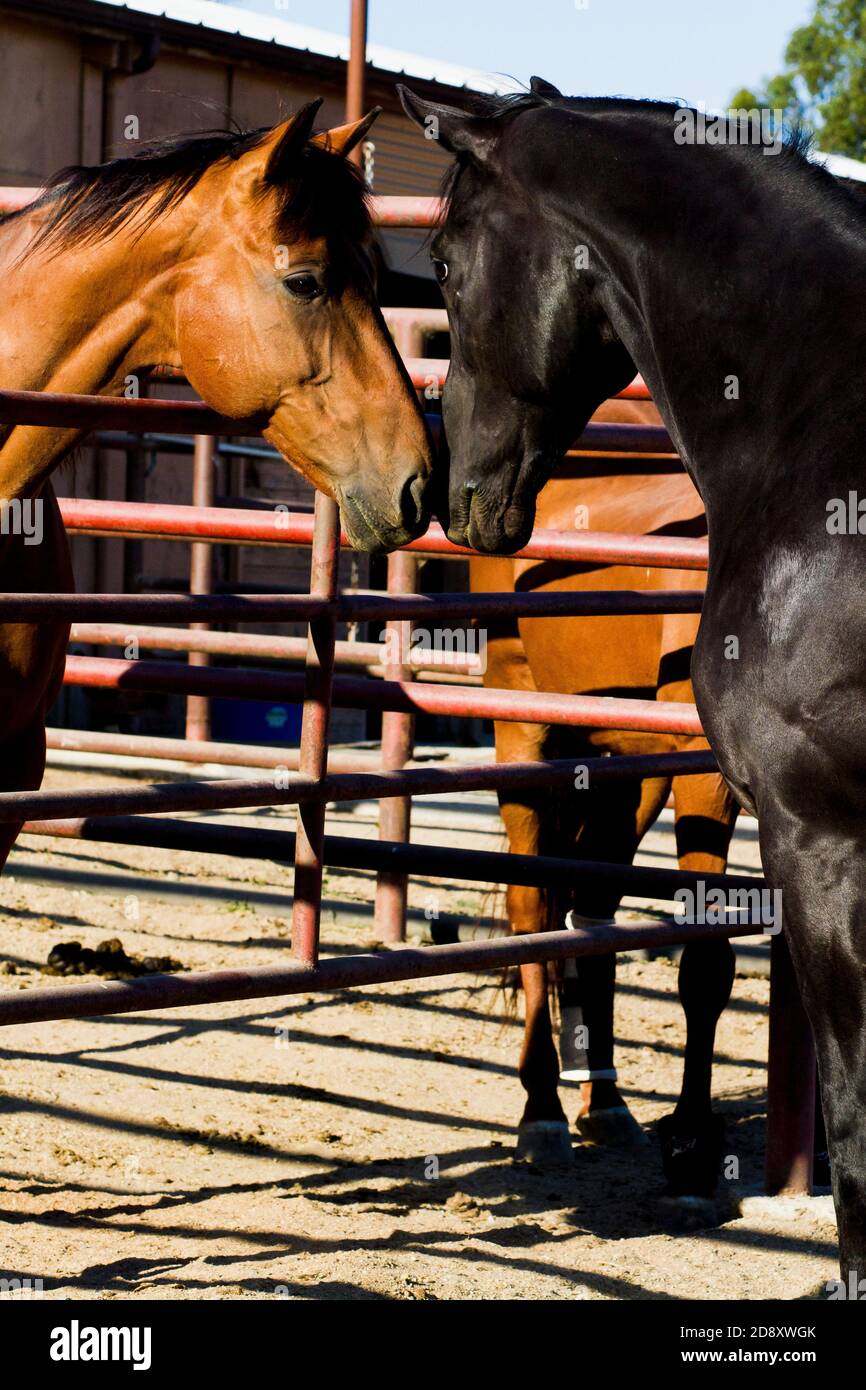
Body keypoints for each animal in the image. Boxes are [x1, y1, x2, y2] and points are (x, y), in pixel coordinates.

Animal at [475, 400, 739, 1195]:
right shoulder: (709, 782)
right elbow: (706, 968)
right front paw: (694, 1150)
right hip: (525, 731)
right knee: (534, 911)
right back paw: (543, 1114)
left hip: (628, 772)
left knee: (591, 915)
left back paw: (607, 1104)